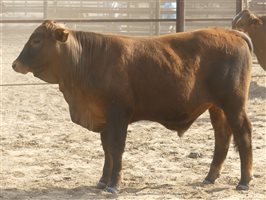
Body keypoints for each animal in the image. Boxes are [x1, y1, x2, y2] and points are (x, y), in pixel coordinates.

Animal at [12, 20, 254, 192]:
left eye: (37, 40)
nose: (15, 64)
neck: (86, 61)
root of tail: (232, 33)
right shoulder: (104, 118)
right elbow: (107, 149)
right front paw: (102, 181)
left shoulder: (118, 114)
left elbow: (116, 148)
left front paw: (113, 185)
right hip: (217, 107)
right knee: (222, 137)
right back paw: (210, 177)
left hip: (234, 104)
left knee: (243, 134)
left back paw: (244, 181)